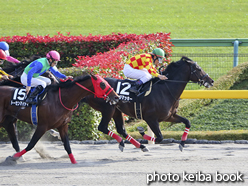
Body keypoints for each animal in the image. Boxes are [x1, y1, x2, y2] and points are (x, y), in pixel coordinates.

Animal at [82, 56, 214, 152]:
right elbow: (159, 138)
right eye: (198, 69)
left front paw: (181, 144)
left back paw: (138, 146)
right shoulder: (151, 118)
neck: (165, 89)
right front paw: (142, 131)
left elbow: (187, 122)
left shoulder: (169, 116)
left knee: (121, 129)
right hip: (108, 108)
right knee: (102, 127)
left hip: (116, 110)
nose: (211, 81)